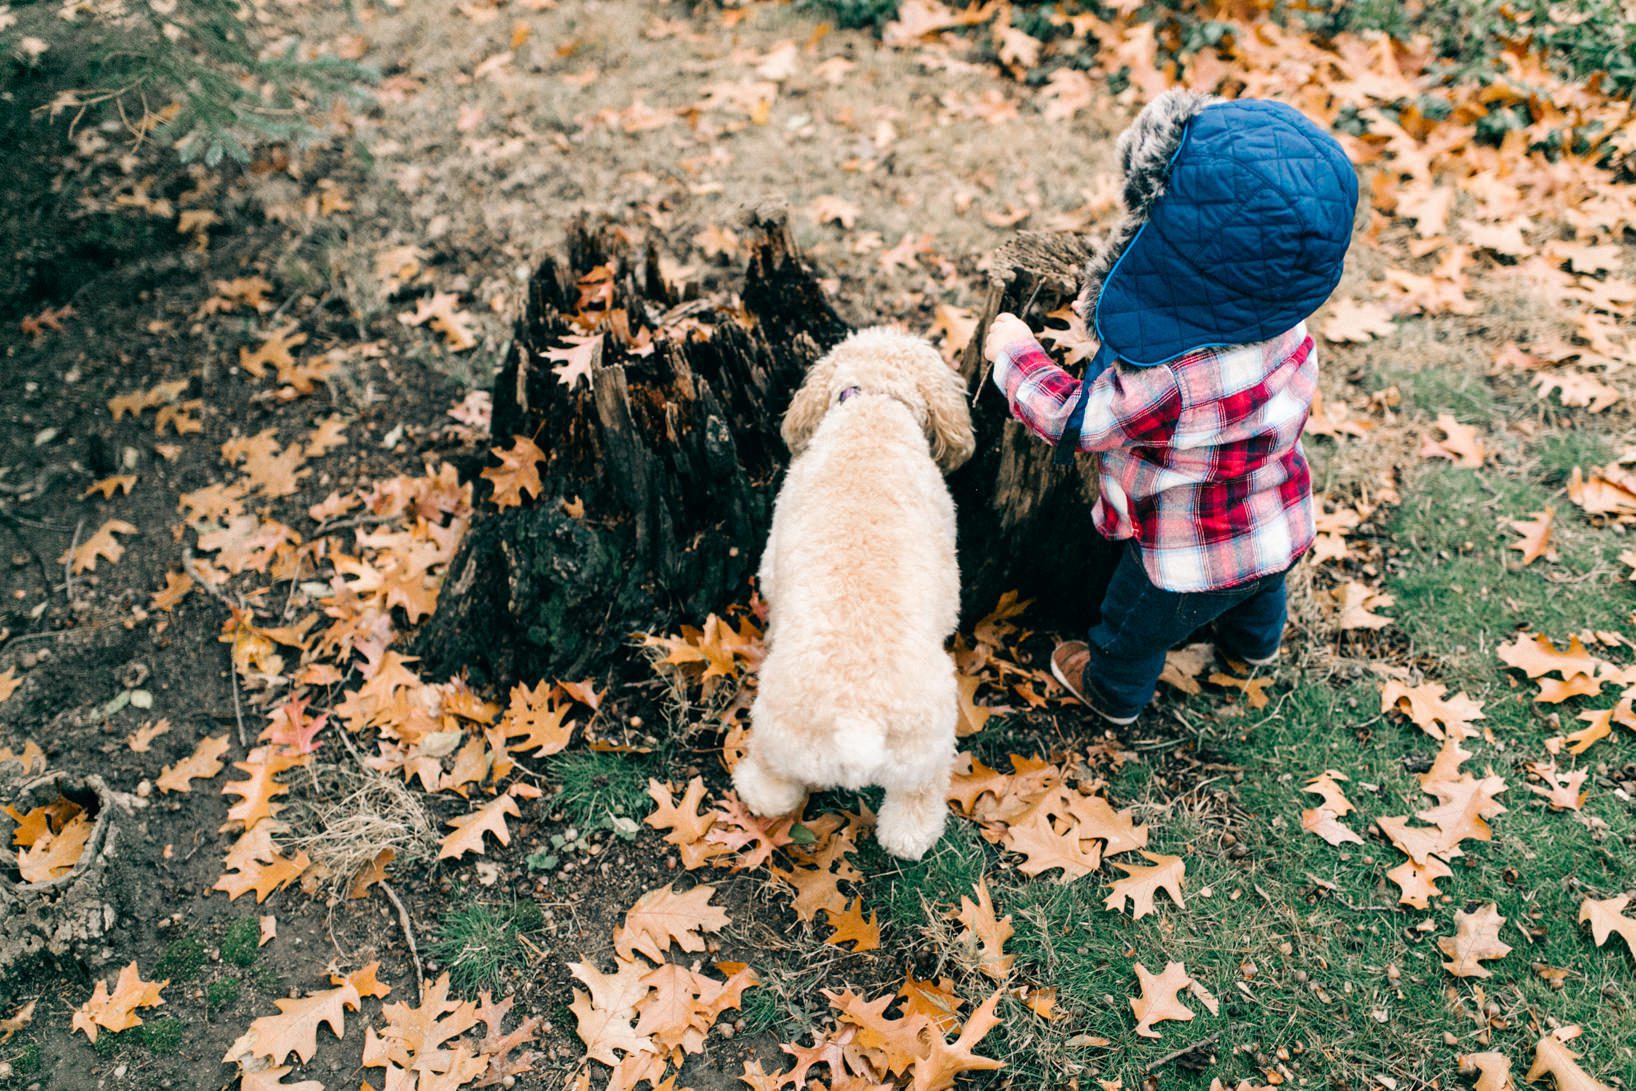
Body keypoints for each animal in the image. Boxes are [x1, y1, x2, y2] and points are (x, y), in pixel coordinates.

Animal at [729, 323, 968, 863]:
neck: (876, 406)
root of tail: (857, 721)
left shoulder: (771, 561)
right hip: (922, 752)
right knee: (912, 814)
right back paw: (907, 837)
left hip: (777, 734)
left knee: (774, 793)